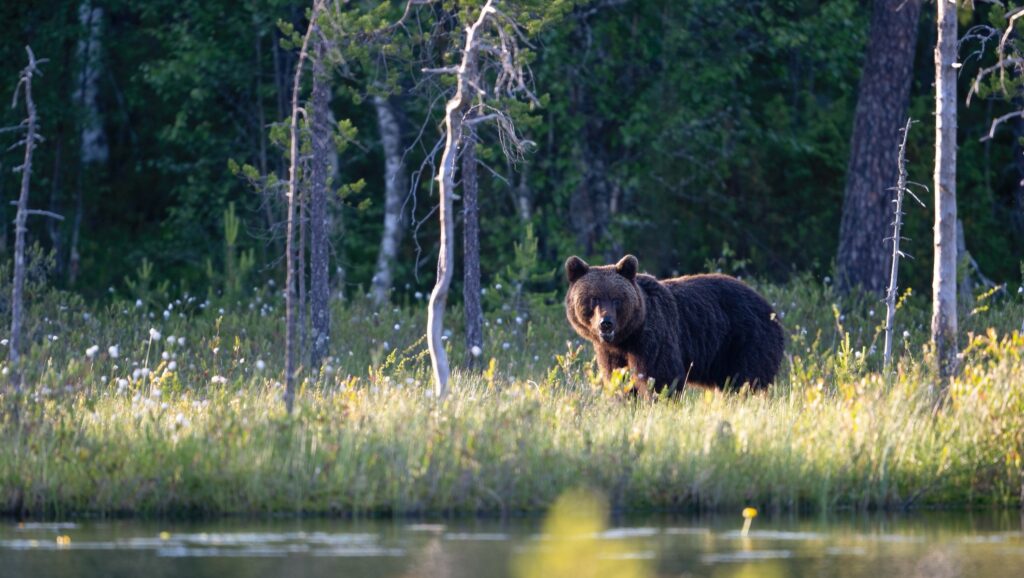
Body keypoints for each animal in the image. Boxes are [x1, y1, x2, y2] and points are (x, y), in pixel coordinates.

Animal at [564, 254, 784, 392]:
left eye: (616, 299)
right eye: (594, 299)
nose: (606, 323)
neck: (627, 338)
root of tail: (771, 309)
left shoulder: (653, 337)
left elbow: (661, 376)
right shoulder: (610, 352)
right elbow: (618, 379)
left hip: (746, 340)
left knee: (746, 379)